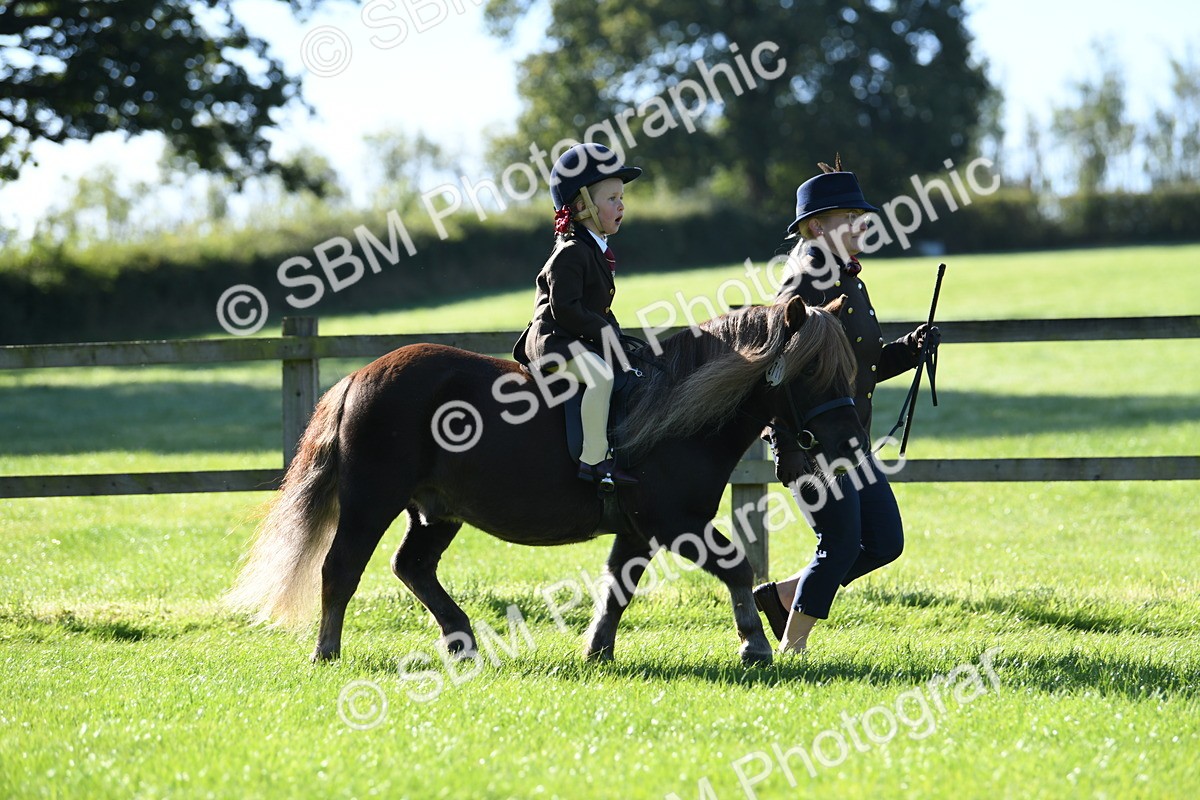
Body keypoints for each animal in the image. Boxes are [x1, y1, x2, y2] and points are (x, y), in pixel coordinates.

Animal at [227, 295, 865, 665]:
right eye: (812, 370)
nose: (847, 444)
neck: (678, 413)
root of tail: (358, 376)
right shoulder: (675, 523)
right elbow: (735, 567)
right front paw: (754, 643)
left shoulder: (637, 530)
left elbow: (616, 588)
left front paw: (598, 651)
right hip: (371, 502)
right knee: (342, 569)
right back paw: (327, 652)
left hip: (436, 510)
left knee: (412, 567)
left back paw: (462, 641)